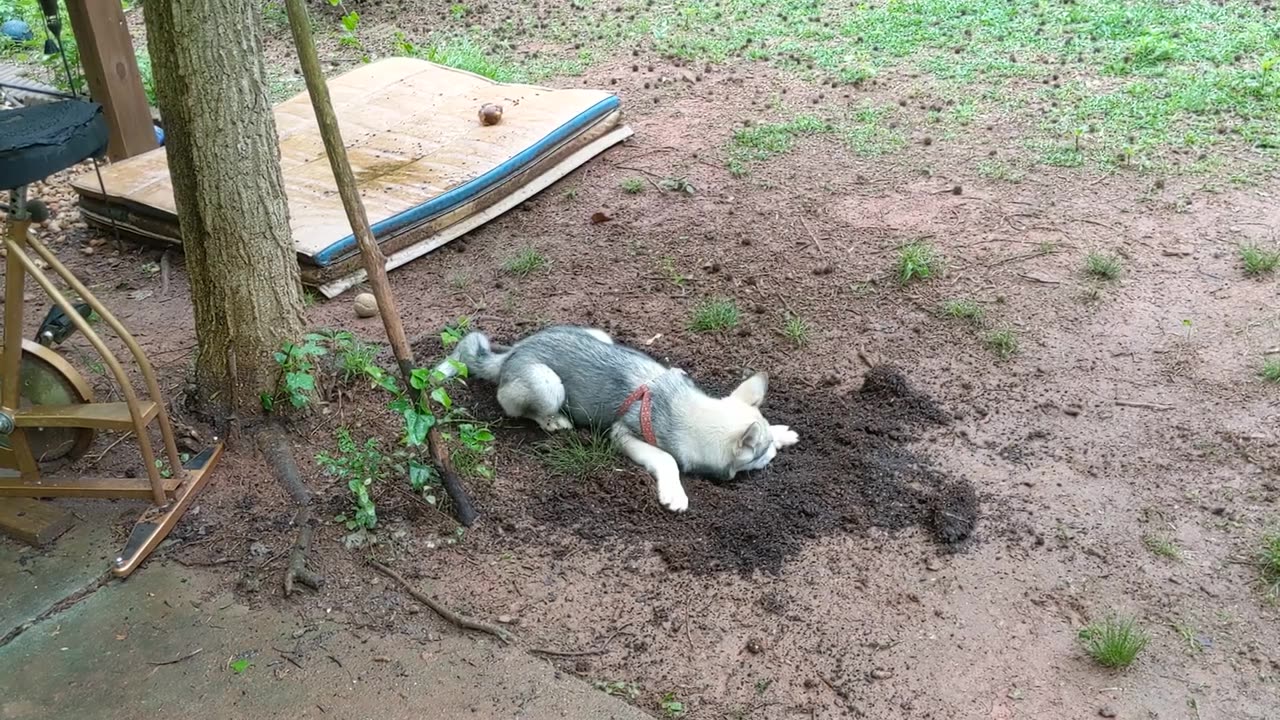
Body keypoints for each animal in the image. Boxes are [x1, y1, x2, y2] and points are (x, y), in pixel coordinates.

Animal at [440, 325, 798, 509]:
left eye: (768, 447)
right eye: (762, 454)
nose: (773, 452)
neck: (685, 410)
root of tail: (512, 352)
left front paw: (783, 432)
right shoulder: (623, 434)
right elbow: (667, 459)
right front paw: (675, 493)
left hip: (600, 335)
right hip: (547, 384)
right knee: (515, 406)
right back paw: (554, 421)